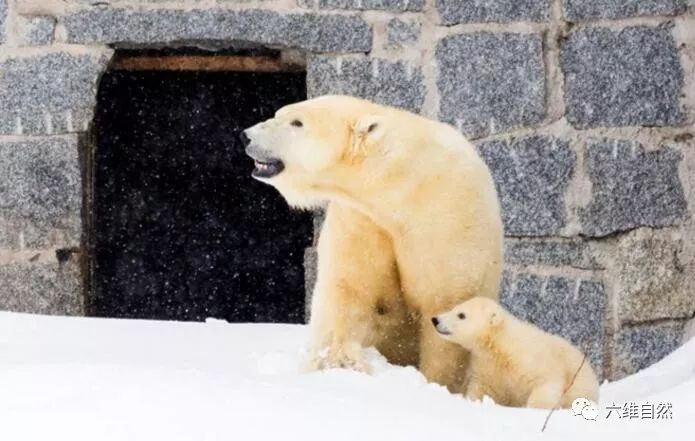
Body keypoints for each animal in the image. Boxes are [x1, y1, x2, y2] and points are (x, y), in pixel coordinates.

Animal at [245, 95, 506, 388]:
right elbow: (349, 287)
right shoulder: (362, 219)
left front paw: (436, 381)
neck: (404, 184)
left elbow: (445, 301)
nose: (246, 136)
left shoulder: (448, 220)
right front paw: (338, 364)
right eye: (279, 113)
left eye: (297, 122)